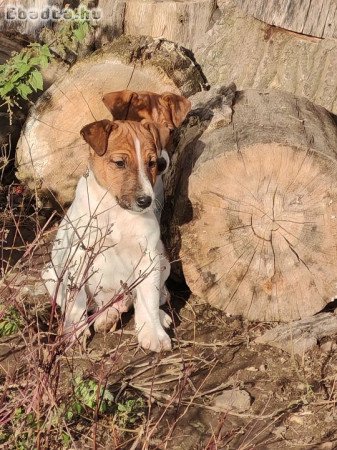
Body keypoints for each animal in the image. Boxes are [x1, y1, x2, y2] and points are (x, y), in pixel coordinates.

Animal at [42, 90, 189, 352]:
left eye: (151, 163)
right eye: (120, 163)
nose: (145, 201)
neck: (117, 211)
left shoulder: (147, 257)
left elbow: (148, 299)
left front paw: (153, 333)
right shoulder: (78, 257)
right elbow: (76, 302)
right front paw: (73, 333)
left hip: (162, 260)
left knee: (152, 296)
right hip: (50, 273)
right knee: (87, 305)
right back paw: (104, 317)